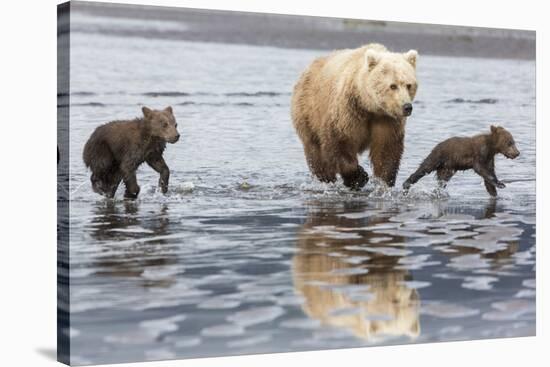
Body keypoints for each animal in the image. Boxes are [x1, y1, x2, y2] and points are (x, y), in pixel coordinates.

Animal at [294, 43, 418, 190]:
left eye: (409, 85)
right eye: (393, 86)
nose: (407, 107)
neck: (369, 106)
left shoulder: (387, 119)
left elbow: (387, 149)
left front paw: (384, 182)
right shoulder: (348, 111)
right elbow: (339, 142)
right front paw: (359, 177)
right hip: (309, 112)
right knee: (316, 151)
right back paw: (326, 179)